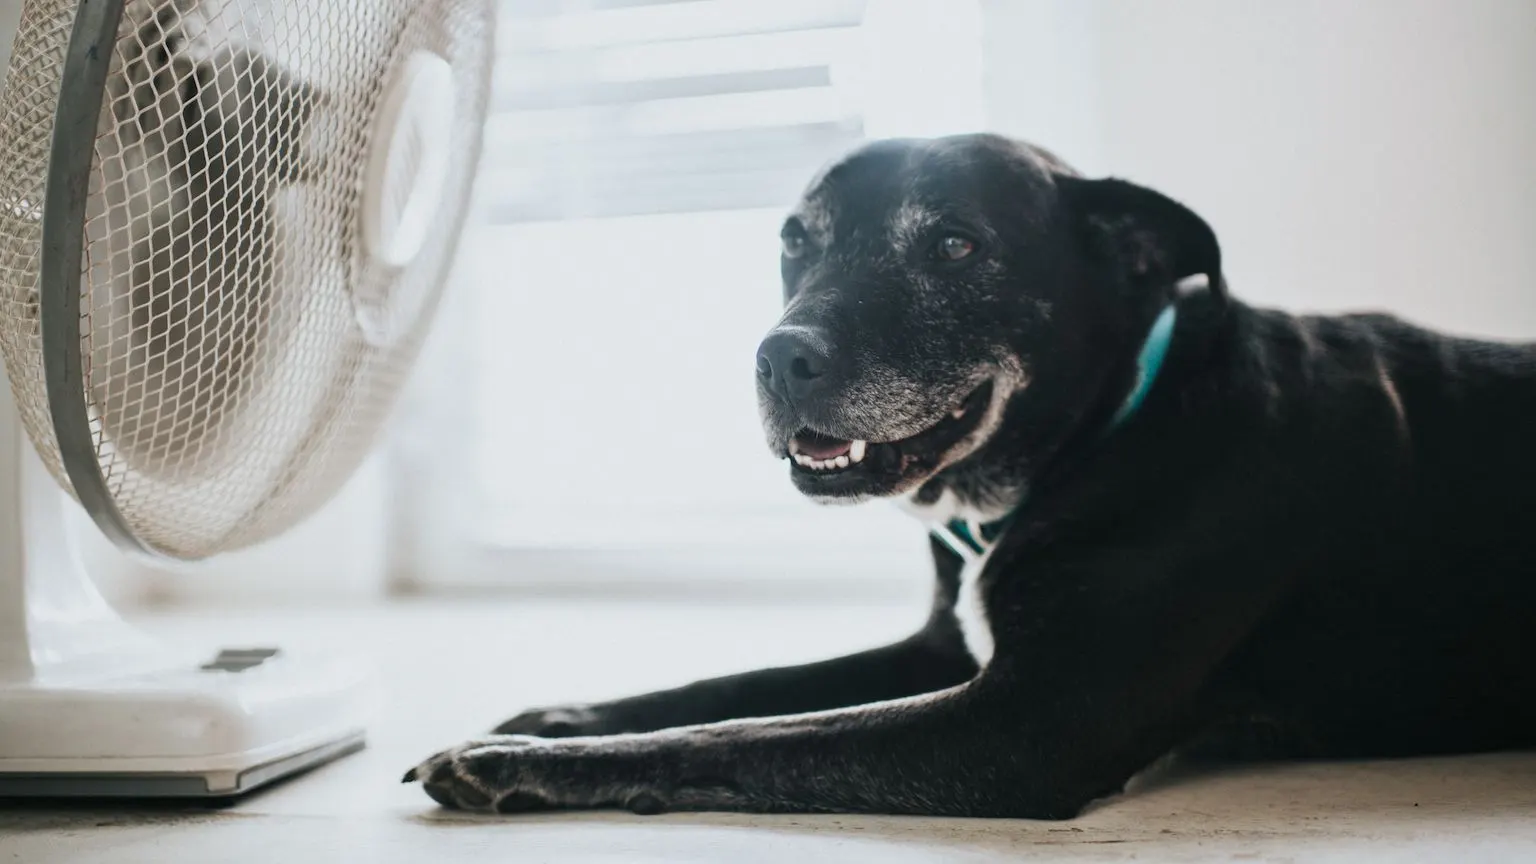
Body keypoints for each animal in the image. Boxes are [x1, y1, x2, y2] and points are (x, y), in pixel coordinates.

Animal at [402, 132, 1529, 811]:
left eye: (953, 246)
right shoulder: (941, 650)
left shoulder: (1024, 726)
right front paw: (555, 720)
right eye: (795, 242)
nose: (777, 357)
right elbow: (736, 687)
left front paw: (514, 765)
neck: (1103, 434)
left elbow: (744, 734)